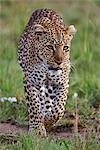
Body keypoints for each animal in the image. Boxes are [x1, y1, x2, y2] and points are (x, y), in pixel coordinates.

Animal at [17, 8, 76, 137]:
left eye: (65, 48)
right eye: (50, 47)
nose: (59, 62)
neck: (47, 69)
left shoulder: (63, 82)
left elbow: (59, 107)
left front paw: (48, 121)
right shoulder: (30, 82)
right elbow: (34, 105)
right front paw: (37, 128)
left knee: (48, 101)